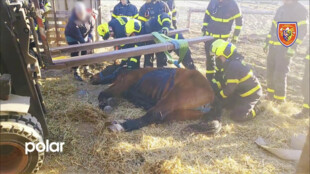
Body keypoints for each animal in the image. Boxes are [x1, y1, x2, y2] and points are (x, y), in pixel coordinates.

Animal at [91, 66, 222, 133]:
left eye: (106, 69)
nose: (92, 77)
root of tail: (213, 96)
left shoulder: (123, 84)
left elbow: (102, 94)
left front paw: (105, 104)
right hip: (183, 112)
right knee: (159, 117)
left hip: (175, 96)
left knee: (155, 113)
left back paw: (120, 125)